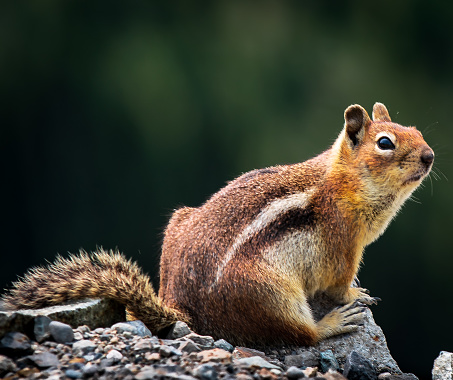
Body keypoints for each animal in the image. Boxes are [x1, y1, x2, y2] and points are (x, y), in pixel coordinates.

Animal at [3, 102, 434, 346]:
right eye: (385, 143)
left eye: (417, 131)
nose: (430, 156)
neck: (345, 182)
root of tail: (181, 309)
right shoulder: (344, 245)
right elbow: (340, 284)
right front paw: (357, 296)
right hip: (268, 293)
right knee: (302, 335)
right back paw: (331, 323)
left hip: (178, 221)